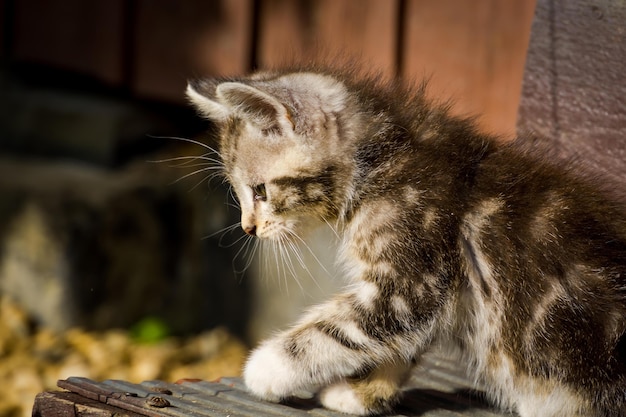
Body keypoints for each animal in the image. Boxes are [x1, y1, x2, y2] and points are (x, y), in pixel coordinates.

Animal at [185, 66, 624, 414]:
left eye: (260, 191)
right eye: (241, 193)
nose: (248, 229)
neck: (383, 162)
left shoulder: (411, 275)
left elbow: (337, 329)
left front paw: (267, 368)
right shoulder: (430, 291)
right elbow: (400, 341)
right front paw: (364, 392)